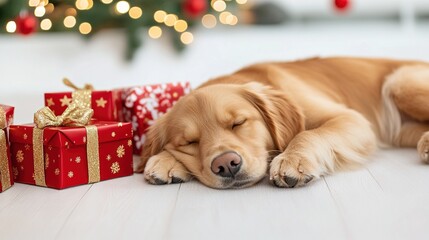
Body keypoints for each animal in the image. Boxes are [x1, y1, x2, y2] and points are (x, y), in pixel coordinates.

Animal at [135, 57, 428, 188]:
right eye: (190, 142)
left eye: (239, 123)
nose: (226, 164)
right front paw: (164, 160)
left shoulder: (350, 118)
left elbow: (307, 134)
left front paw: (292, 160)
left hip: (401, 82)